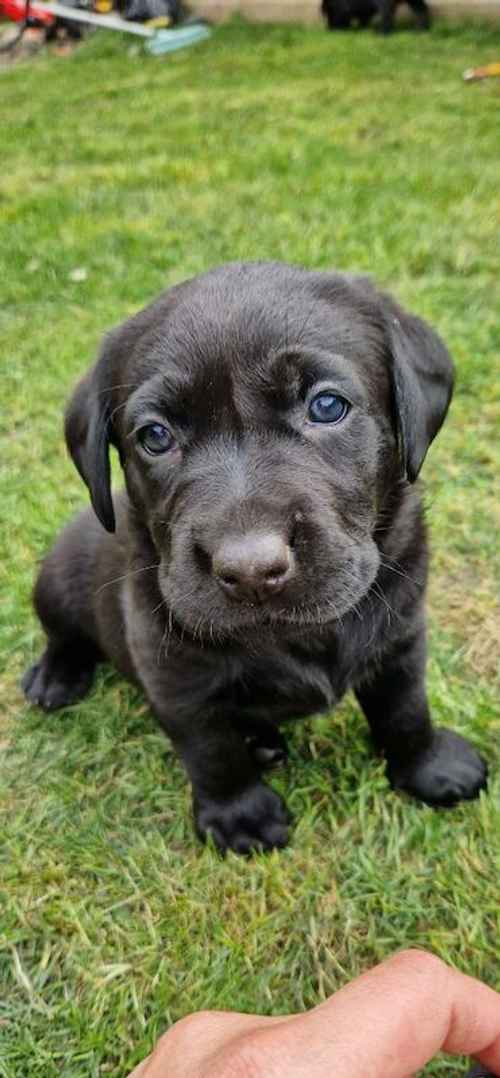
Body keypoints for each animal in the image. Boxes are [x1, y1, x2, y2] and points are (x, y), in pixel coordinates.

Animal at [22, 260, 484, 849]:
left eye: (327, 406)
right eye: (155, 436)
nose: (249, 570)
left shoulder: (401, 636)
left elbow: (405, 709)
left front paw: (429, 767)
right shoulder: (176, 676)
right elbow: (211, 752)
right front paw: (241, 818)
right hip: (56, 578)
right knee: (63, 634)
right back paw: (55, 677)